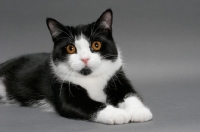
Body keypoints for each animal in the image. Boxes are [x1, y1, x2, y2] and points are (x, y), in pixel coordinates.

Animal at [0, 9, 152, 125]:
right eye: (70, 48)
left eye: (96, 45)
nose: (85, 58)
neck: (90, 77)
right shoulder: (62, 86)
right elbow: (89, 104)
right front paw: (116, 114)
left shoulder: (116, 75)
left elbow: (129, 93)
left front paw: (138, 111)